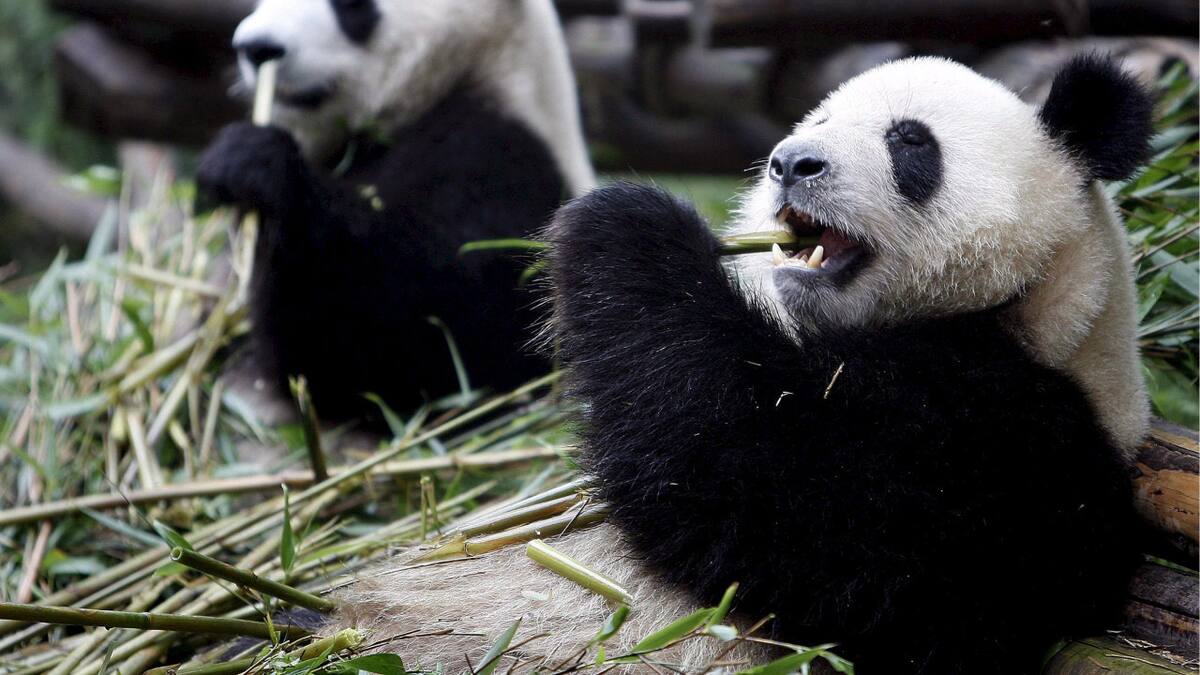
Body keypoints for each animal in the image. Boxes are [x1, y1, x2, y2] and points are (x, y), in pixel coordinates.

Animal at [323, 55, 1152, 674]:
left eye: (911, 143)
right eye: (815, 122)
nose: (792, 162)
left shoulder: (1011, 442)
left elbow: (764, 480)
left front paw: (624, 222)